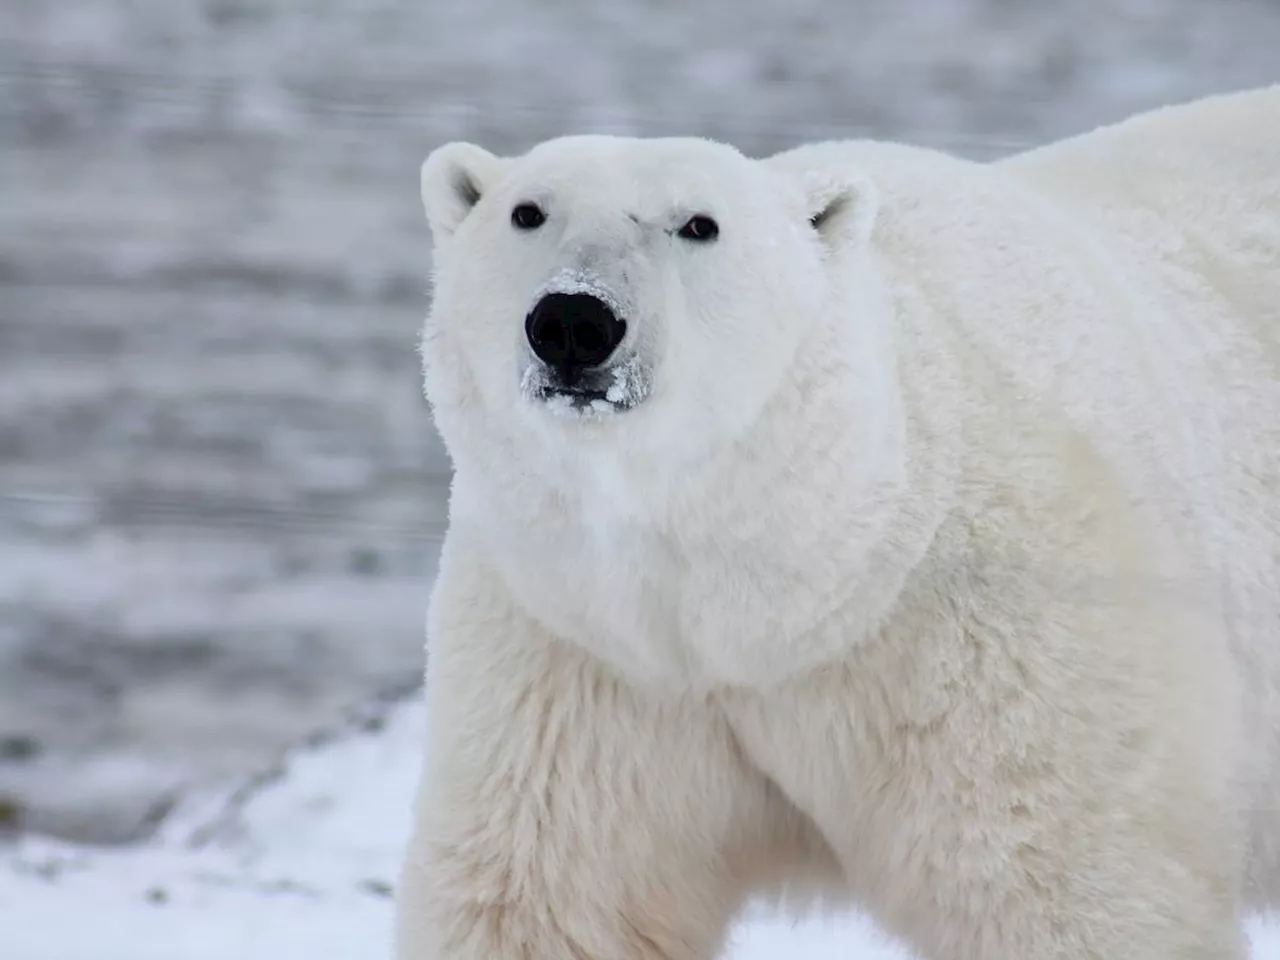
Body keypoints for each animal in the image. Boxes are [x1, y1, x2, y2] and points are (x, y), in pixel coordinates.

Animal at [396, 84, 1280, 960]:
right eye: (527, 211)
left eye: (698, 224)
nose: (575, 321)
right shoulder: (582, 653)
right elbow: (551, 897)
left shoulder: (1006, 645)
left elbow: (1067, 889)